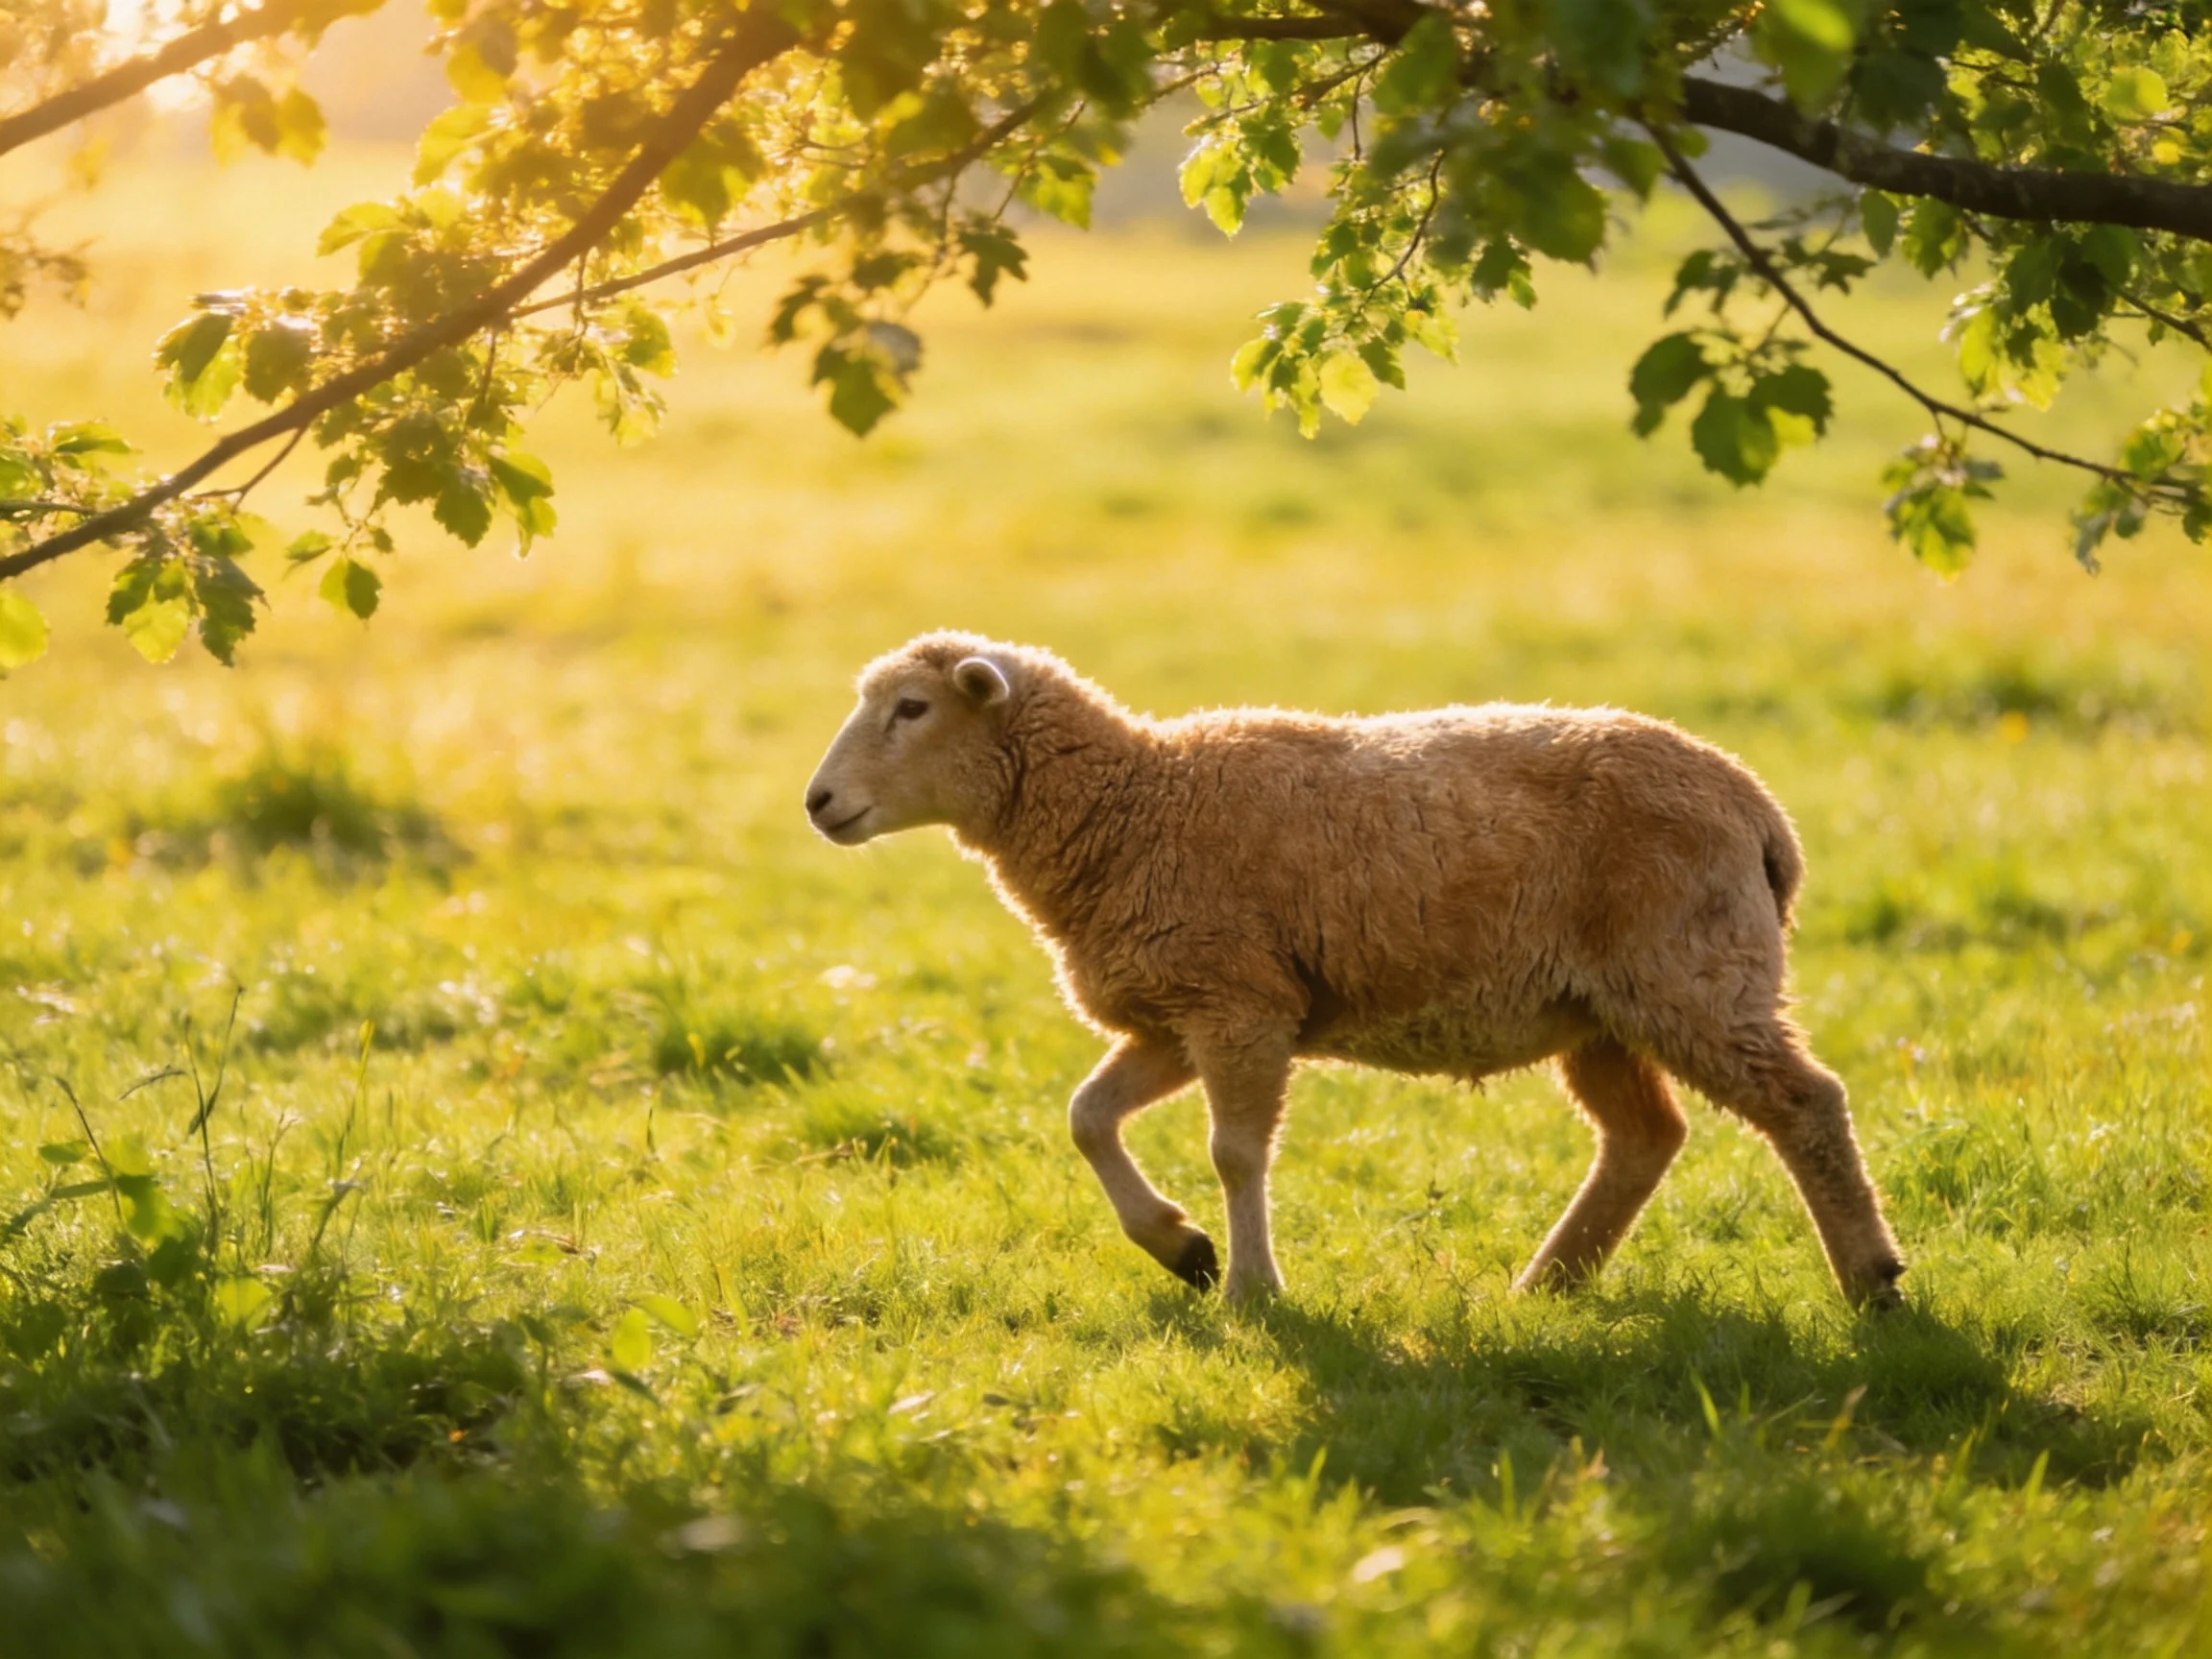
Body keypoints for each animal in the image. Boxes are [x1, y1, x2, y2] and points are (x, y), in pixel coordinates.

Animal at [804, 632, 1904, 1309]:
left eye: (911, 708)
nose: (817, 803)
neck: (1132, 805)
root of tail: (1761, 813)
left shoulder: (1240, 1005)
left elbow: (1236, 1153)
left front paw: (1251, 1290)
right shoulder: (1182, 1009)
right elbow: (1087, 1116)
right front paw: (1180, 1247)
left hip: (1691, 971)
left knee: (1805, 1102)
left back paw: (1872, 1281)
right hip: (1601, 1007)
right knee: (1645, 1137)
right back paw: (1547, 1285)